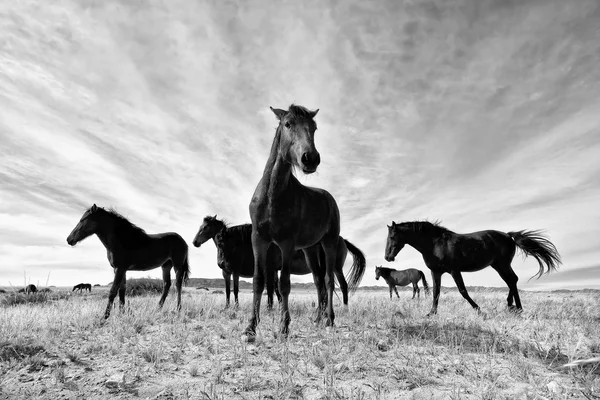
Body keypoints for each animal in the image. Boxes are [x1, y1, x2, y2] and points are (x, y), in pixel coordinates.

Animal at [192, 216, 366, 306]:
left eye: (205, 227)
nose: (194, 242)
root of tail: (343, 240)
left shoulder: (241, 271)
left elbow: (264, 289)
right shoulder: (228, 273)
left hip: (336, 267)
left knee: (342, 285)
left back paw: (343, 307)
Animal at [245, 104, 342, 340]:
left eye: (314, 127)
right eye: (288, 124)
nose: (310, 158)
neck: (272, 196)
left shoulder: (286, 244)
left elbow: (284, 285)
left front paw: (284, 326)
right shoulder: (258, 240)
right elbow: (258, 281)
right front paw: (250, 326)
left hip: (329, 243)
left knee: (327, 280)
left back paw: (329, 319)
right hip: (310, 249)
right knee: (318, 281)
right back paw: (317, 319)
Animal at [384, 220, 564, 314]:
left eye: (392, 237)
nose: (387, 257)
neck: (435, 244)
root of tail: (508, 235)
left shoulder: (454, 271)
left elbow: (463, 291)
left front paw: (478, 310)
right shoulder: (436, 272)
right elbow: (436, 292)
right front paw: (431, 313)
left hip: (502, 264)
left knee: (512, 280)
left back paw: (516, 307)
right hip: (498, 266)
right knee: (511, 281)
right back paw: (512, 306)